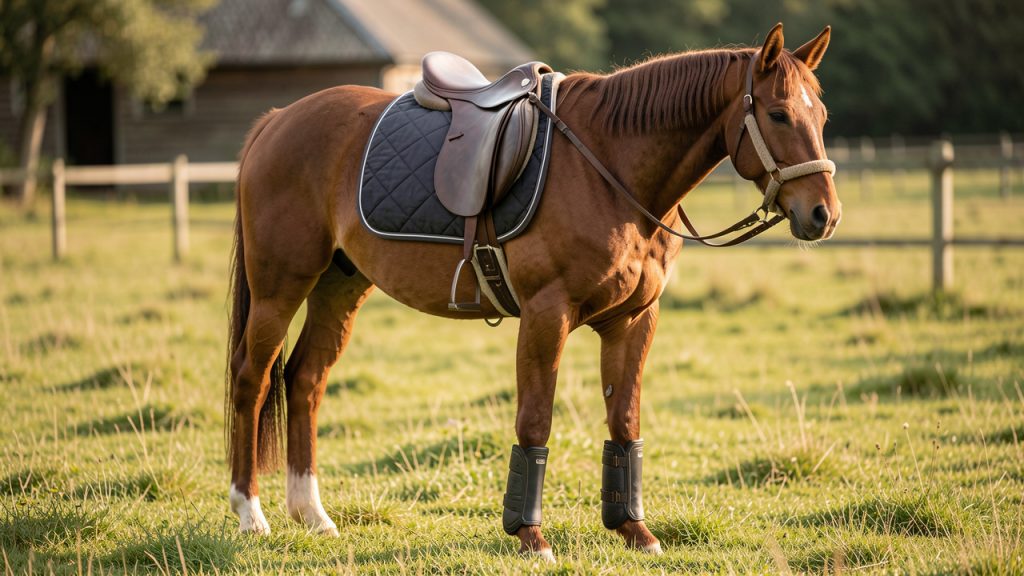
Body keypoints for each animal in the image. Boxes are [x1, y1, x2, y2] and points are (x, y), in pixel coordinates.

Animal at [225, 23, 840, 561]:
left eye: (822, 115)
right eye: (779, 113)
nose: (823, 215)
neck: (609, 163)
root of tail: (277, 120)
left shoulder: (634, 319)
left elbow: (625, 421)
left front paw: (634, 530)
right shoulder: (548, 314)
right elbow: (536, 421)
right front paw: (530, 536)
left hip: (339, 286)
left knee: (305, 380)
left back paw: (311, 514)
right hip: (279, 287)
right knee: (253, 381)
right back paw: (250, 513)